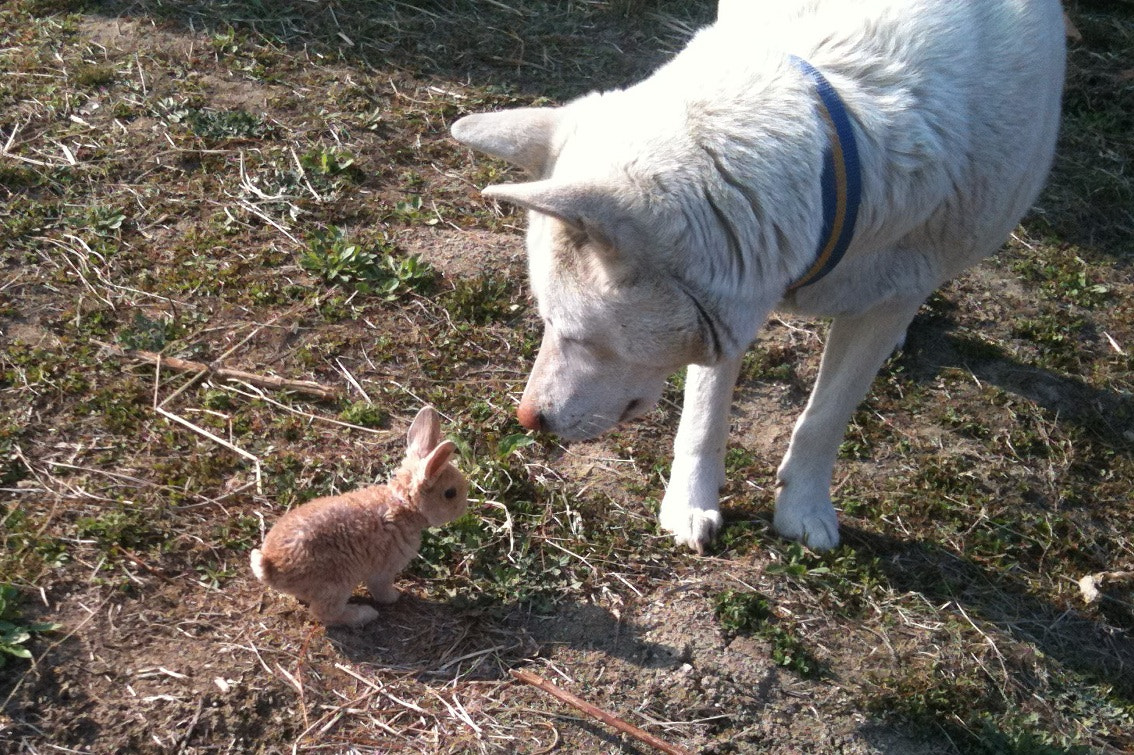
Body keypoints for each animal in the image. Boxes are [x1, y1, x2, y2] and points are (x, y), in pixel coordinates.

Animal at [252, 405, 469, 621]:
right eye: (450, 493)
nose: (463, 508)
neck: (402, 504)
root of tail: (270, 565)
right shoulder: (384, 569)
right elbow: (381, 588)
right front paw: (393, 597)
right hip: (337, 583)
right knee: (325, 613)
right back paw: (364, 614)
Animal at [449, 2, 1061, 550]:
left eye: (573, 333)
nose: (527, 419)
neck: (840, 168)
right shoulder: (733, 301)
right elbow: (704, 415)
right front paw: (690, 503)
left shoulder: (886, 298)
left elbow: (824, 418)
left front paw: (803, 510)